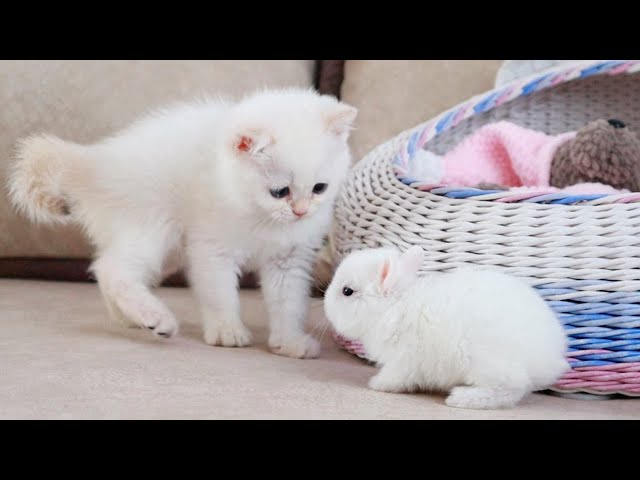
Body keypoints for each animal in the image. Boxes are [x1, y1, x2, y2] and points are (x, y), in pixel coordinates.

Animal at [7, 88, 358, 358]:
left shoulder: (289, 259)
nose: (301, 211)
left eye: (319, 188)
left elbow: (289, 303)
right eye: (280, 192)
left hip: (167, 251)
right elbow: (220, 294)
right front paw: (227, 330)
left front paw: (289, 342)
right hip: (152, 227)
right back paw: (155, 317)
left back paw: (129, 318)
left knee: (108, 272)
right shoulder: (212, 249)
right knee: (112, 270)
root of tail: (95, 161)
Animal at [324, 248, 568, 408]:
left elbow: (395, 378)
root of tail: (550, 360)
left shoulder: (403, 361)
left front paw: (377, 384)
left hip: (488, 364)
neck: (393, 306)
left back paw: (461, 398)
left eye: (347, 291)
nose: (325, 305)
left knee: (511, 388)